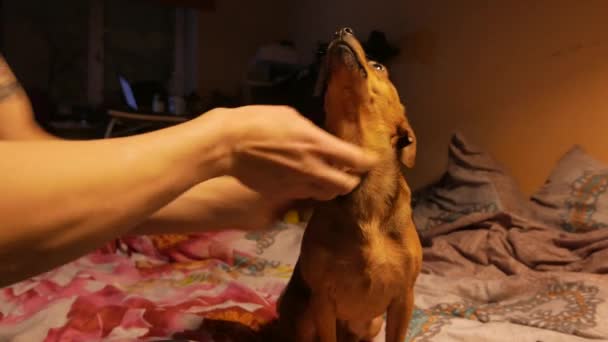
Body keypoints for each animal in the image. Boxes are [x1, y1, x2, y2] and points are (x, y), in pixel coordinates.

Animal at [276, 28, 422, 342]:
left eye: (379, 66)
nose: (341, 30)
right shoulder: (322, 300)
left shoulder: (404, 298)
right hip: (304, 314)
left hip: (372, 323)